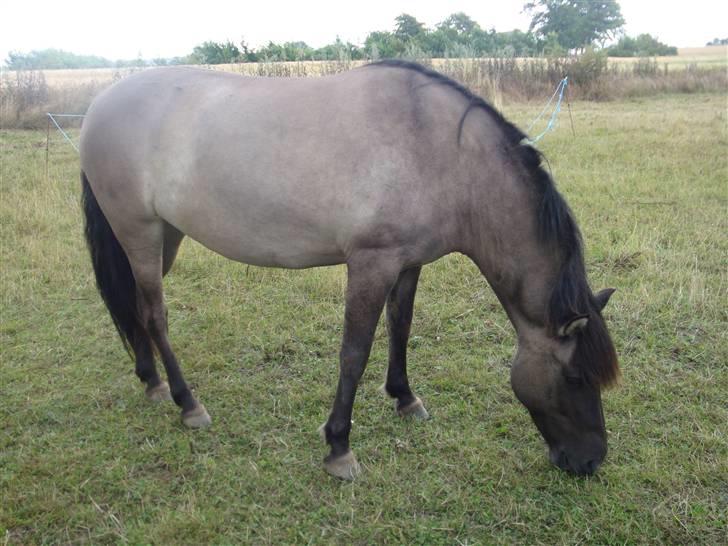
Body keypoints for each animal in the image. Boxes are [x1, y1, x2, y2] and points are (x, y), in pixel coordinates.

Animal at [79, 58, 616, 476]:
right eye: (574, 378)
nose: (590, 461)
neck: (439, 152)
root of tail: (98, 105)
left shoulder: (407, 262)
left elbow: (400, 327)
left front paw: (404, 398)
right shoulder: (370, 264)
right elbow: (354, 353)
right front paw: (339, 446)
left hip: (164, 236)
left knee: (133, 306)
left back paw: (151, 382)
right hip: (140, 232)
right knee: (154, 315)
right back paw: (187, 403)